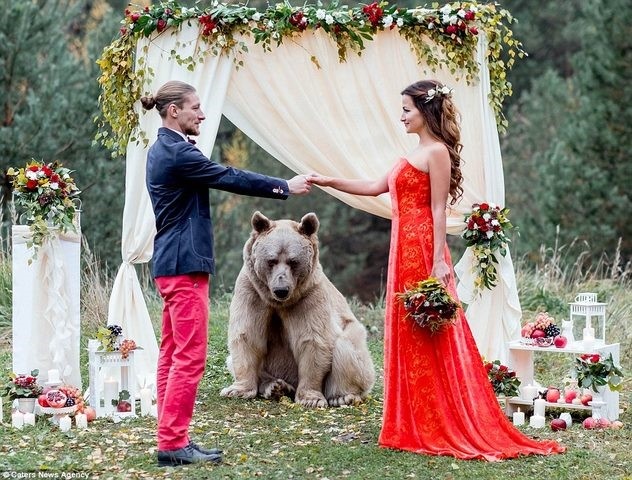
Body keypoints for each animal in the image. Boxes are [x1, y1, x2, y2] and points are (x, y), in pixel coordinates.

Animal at [221, 212, 376, 406]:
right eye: (271, 261)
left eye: (293, 261)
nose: (281, 289)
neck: (278, 302)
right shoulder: (252, 292)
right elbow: (247, 335)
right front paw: (237, 390)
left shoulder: (308, 297)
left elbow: (312, 340)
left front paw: (311, 399)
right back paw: (275, 386)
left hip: (357, 346)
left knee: (347, 349)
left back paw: (343, 396)